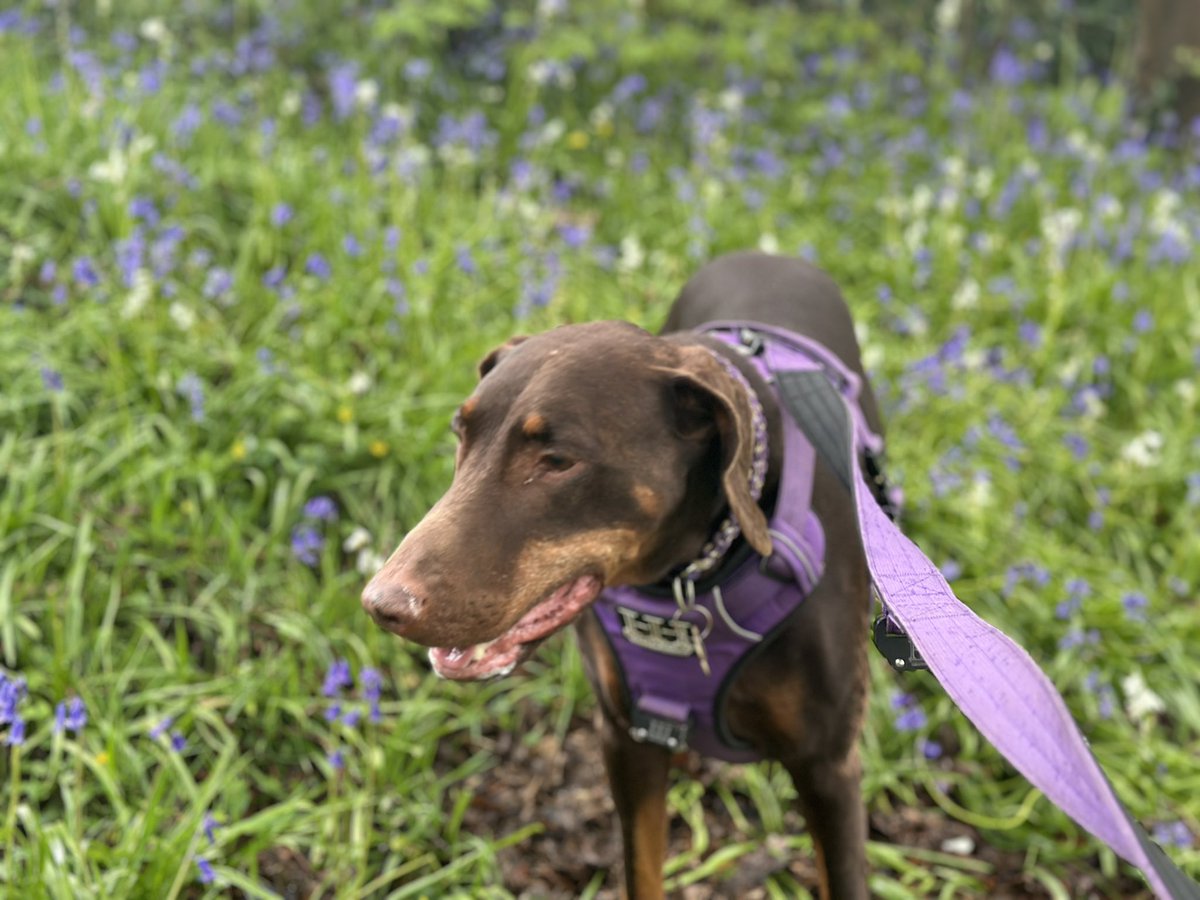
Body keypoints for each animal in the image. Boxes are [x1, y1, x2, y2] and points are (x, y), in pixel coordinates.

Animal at [360, 252, 888, 900]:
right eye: (462, 433)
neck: (693, 580)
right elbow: (643, 866)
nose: (382, 604)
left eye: (557, 461)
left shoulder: (828, 768)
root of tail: (768, 255)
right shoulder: (626, 738)